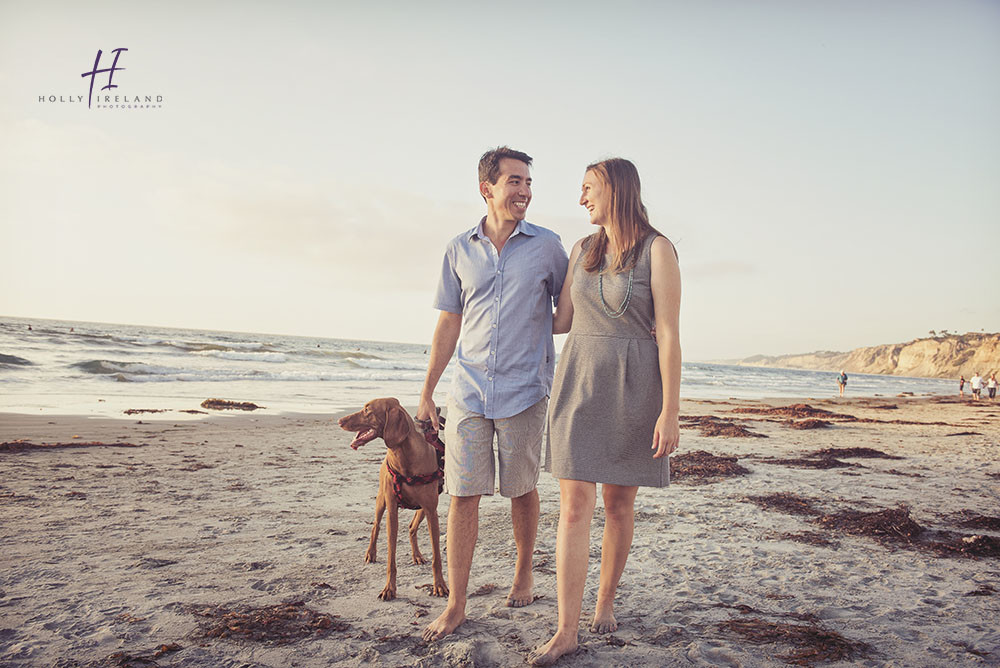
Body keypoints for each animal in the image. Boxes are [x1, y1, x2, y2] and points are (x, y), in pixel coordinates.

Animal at [338, 396, 448, 600]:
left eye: (367, 410)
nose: (339, 421)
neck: (404, 456)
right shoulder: (392, 512)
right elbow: (391, 557)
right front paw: (389, 588)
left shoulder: (431, 511)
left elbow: (437, 556)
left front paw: (440, 585)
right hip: (381, 502)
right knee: (375, 526)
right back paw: (371, 553)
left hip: (423, 509)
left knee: (412, 528)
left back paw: (417, 556)